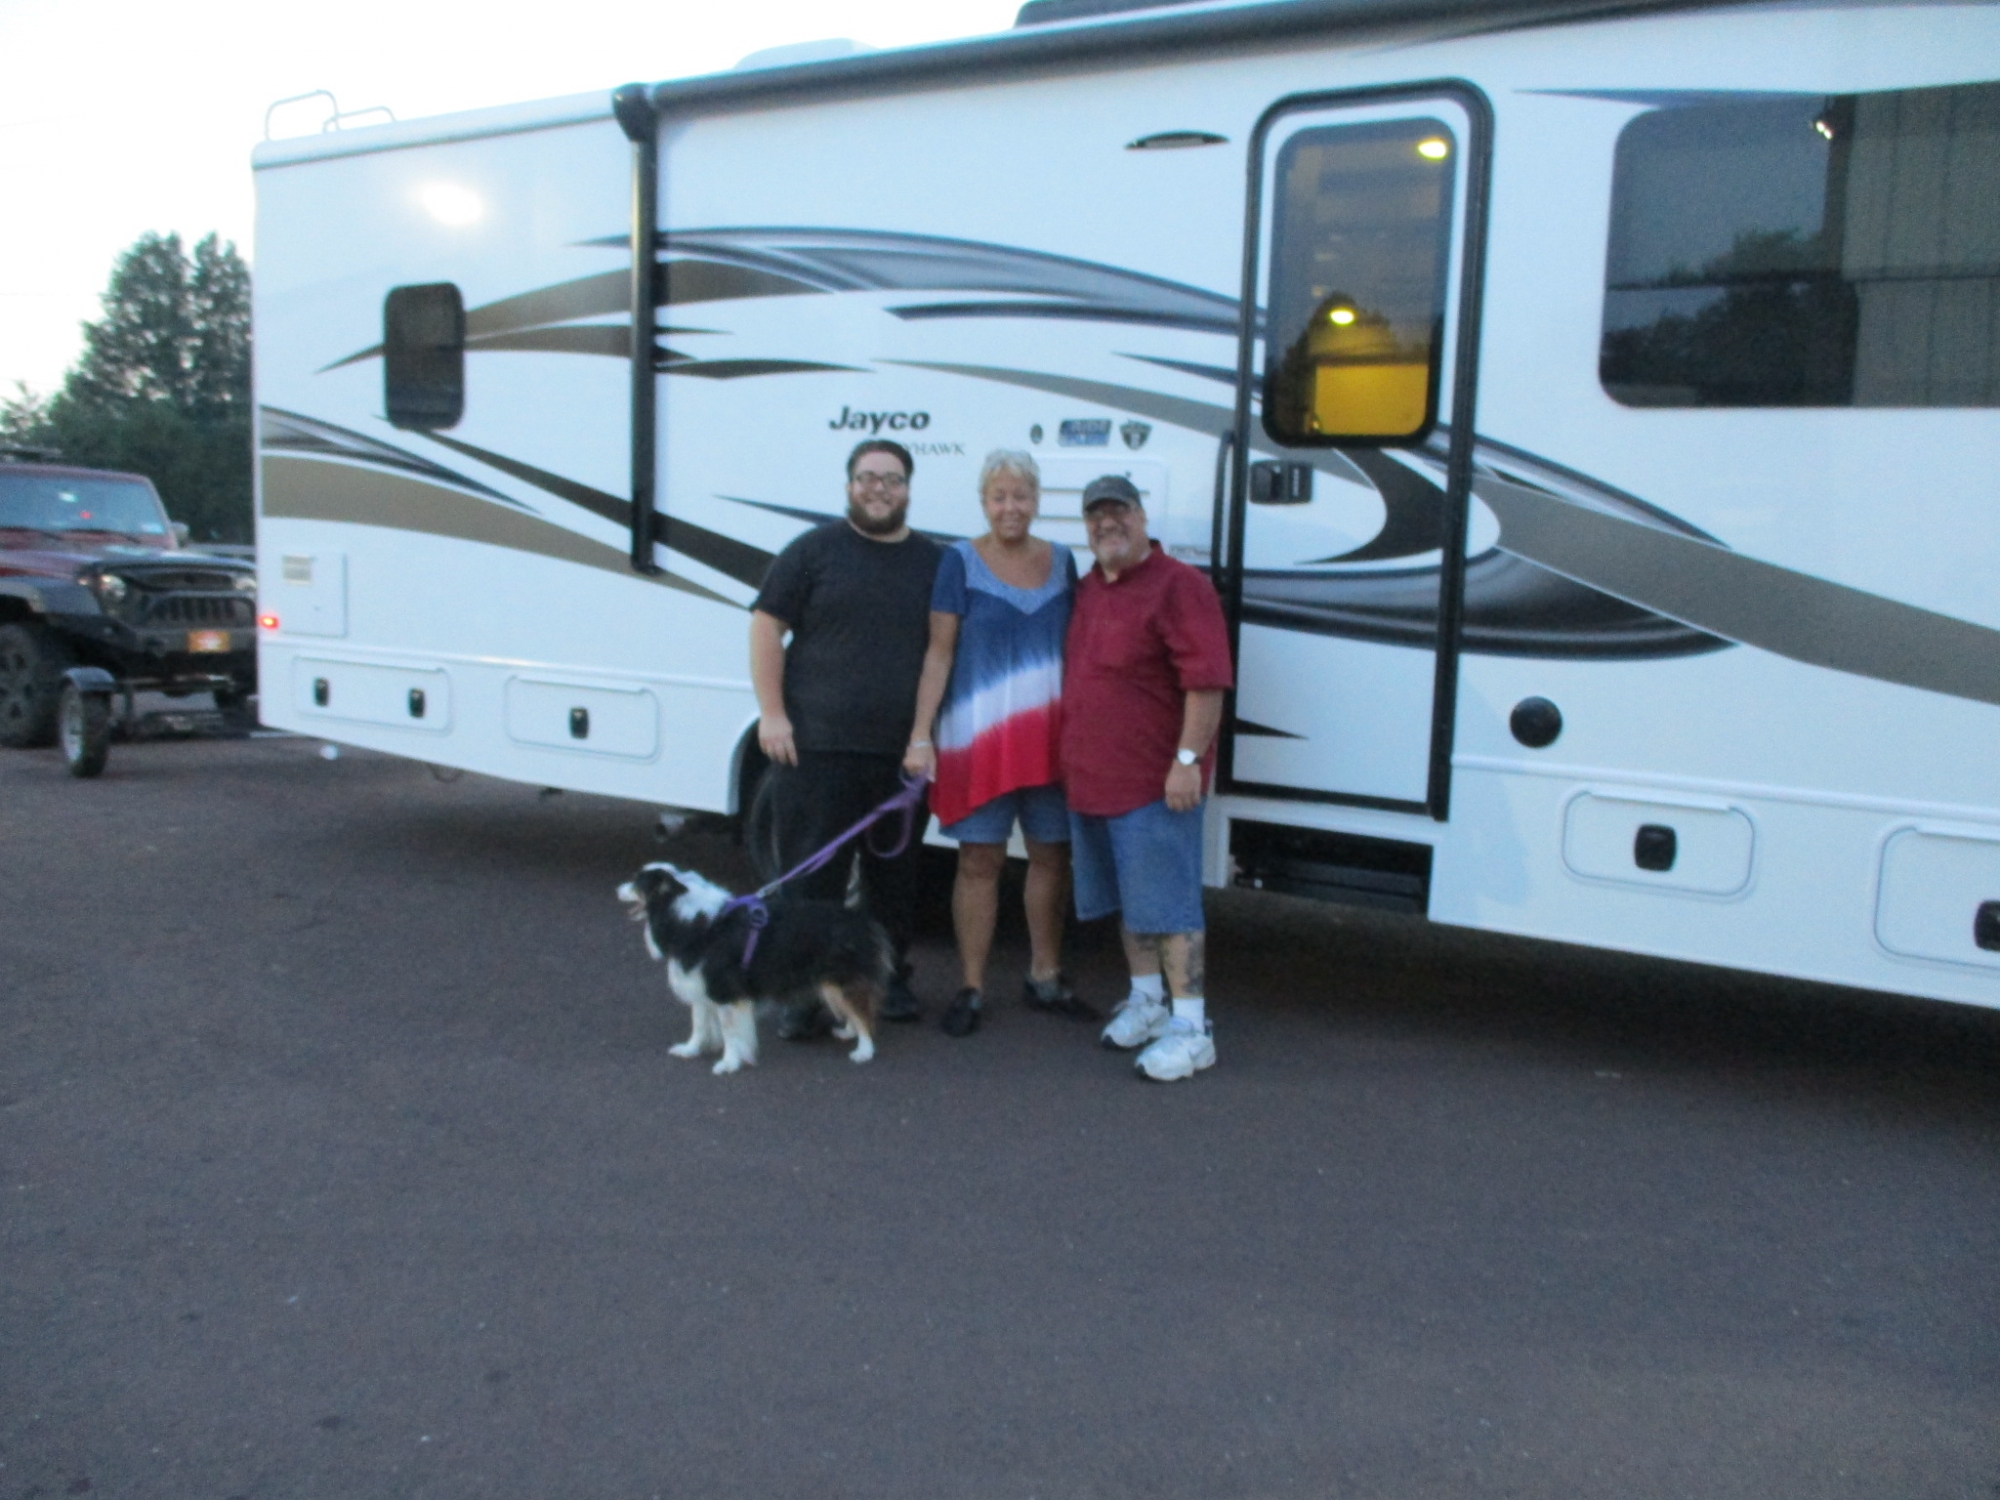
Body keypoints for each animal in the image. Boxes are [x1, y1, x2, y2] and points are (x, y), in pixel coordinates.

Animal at [617, 862, 891, 1073]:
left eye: (636, 883)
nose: (616, 889)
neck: (682, 913)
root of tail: (856, 918)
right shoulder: (700, 983)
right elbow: (699, 1023)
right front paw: (690, 1050)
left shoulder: (724, 990)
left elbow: (729, 1031)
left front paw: (728, 1064)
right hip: (831, 982)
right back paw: (849, 1032)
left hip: (842, 978)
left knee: (862, 1011)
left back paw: (864, 1050)